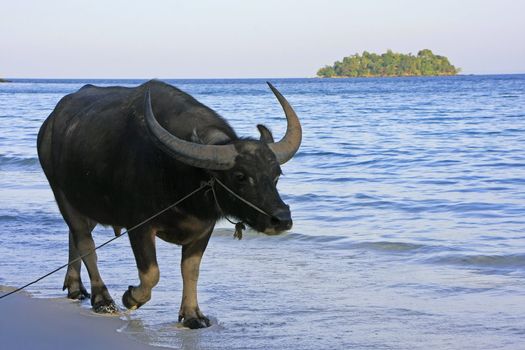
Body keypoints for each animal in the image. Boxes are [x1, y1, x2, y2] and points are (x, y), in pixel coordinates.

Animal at [36, 79, 300, 328]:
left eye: (276, 175)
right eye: (241, 176)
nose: (282, 219)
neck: (183, 178)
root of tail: (48, 125)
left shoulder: (204, 229)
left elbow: (190, 270)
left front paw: (192, 315)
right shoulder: (139, 226)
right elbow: (151, 273)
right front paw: (131, 298)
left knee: (74, 238)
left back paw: (75, 287)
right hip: (62, 195)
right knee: (85, 241)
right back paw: (102, 299)